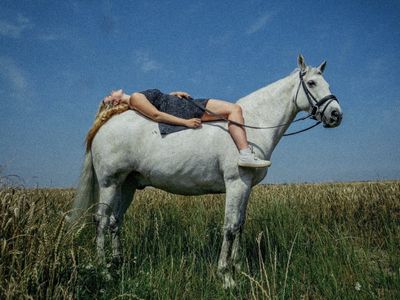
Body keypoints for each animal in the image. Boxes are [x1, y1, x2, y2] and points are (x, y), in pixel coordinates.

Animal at [71, 55, 340, 288]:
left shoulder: (245, 188)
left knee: (115, 221)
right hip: (109, 184)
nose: (336, 114)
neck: (250, 124)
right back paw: (104, 271)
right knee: (101, 221)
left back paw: (118, 263)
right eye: (312, 83)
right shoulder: (236, 183)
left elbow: (240, 225)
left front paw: (239, 268)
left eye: (326, 82)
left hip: (126, 186)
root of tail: (105, 123)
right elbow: (230, 228)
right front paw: (226, 276)